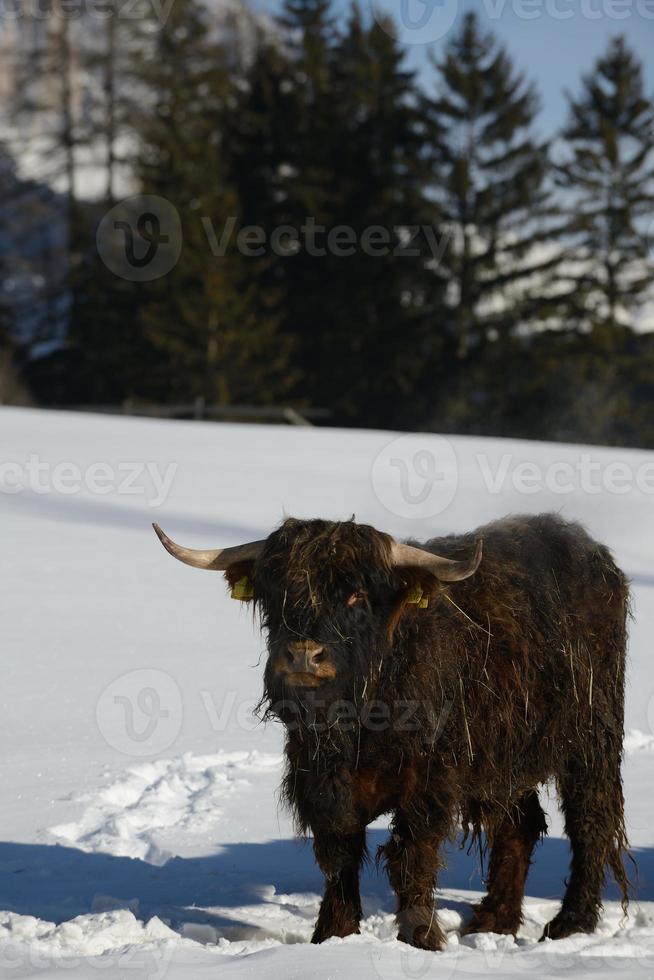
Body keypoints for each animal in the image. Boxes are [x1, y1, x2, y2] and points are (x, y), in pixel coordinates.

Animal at [154, 512, 632, 948]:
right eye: (278, 591)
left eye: (356, 595)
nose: (304, 655)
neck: (359, 723)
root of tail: (593, 555)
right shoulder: (321, 781)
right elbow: (339, 854)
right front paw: (333, 936)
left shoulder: (427, 784)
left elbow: (411, 858)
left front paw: (421, 939)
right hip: (504, 759)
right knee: (521, 825)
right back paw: (493, 921)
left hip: (591, 736)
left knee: (591, 820)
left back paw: (570, 923)